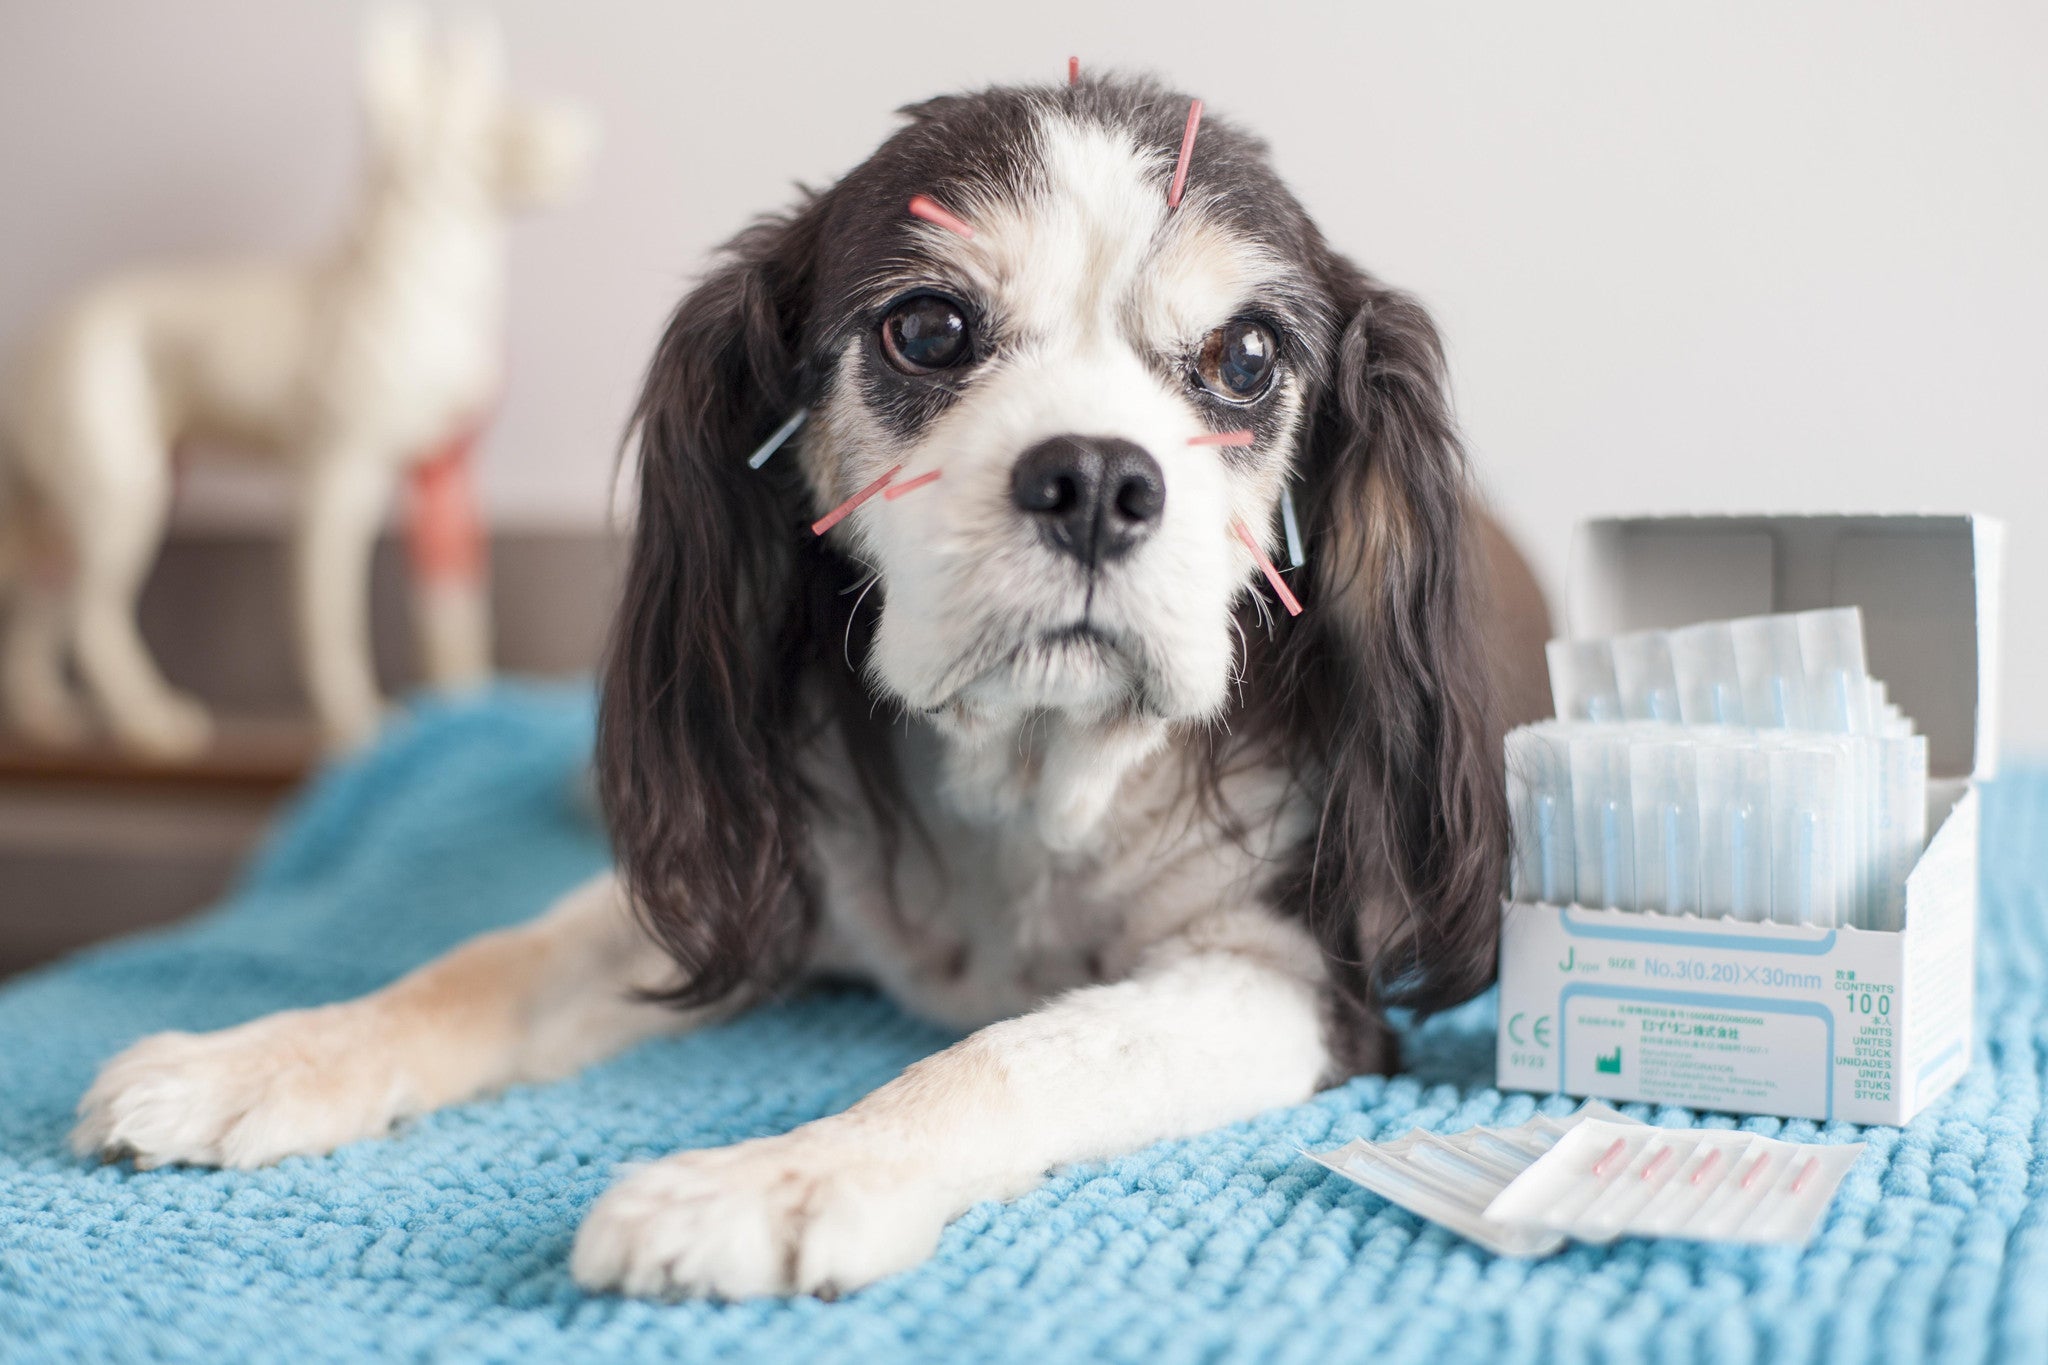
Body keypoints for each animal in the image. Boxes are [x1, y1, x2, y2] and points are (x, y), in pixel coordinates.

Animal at [0, 7, 593, 757]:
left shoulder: (445, 478)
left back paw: (41, 713)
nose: (585, 124)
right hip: (120, 497)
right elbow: (329, 620)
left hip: (93, 502)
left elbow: (454, 621)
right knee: (91, 614)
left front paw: (471, 718)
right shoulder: (336, 483)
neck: (424, 282)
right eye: (491, 118)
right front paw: (356, 724)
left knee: (41, 604)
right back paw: (146, 719)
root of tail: (34, 344)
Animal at [72, 74, 1540, 1301]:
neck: (1027, 775)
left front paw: (783, 1177)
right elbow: (487, 963)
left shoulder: (1291, 981)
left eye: (1244, 358)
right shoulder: (763, 868)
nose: (1093, 480)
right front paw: (261, 1059)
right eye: (929, 328)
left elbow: (1010, 1055)